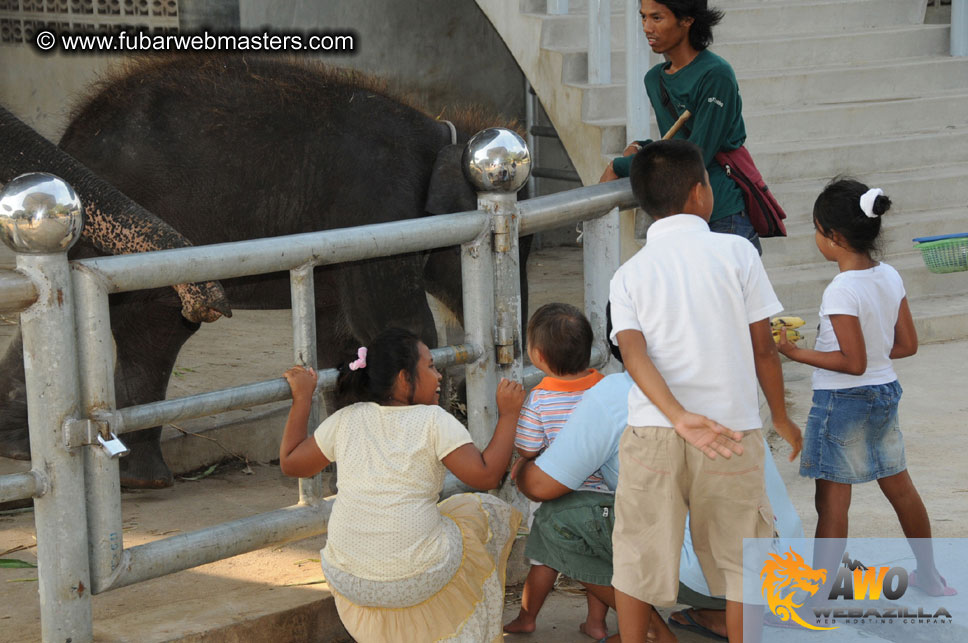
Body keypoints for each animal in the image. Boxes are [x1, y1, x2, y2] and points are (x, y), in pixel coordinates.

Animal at [0, 56, 528, 488]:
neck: (440, 134)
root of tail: (70, 136)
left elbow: (341, 339)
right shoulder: (378, 212)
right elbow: (397, 325)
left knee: (139, 326)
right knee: (149, 324)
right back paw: (134, 478)